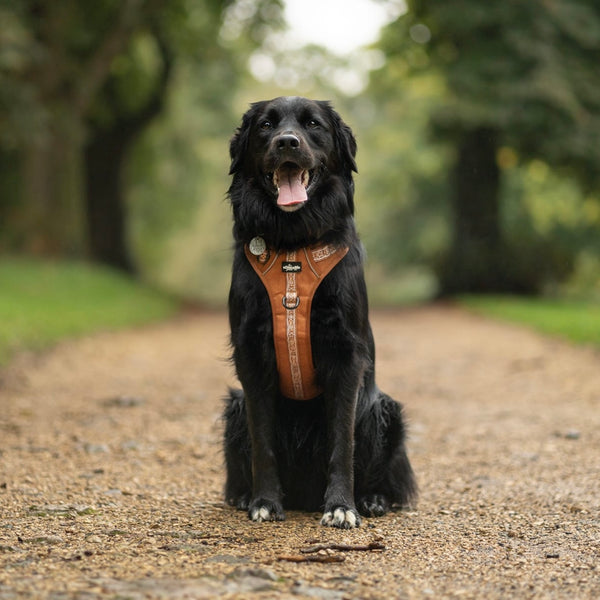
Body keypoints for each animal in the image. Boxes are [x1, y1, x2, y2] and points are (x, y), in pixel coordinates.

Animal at [223, 96, 414, 528]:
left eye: (313, 125)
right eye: (266, 125)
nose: (287, 142)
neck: (292, 249)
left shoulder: (346, 354)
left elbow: (343, 441)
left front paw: (342, 506)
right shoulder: (250, 352)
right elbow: (262, 441)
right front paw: (264, 501)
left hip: (383, 409)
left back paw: (372, 499)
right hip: (234, 407)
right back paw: (243, 495)